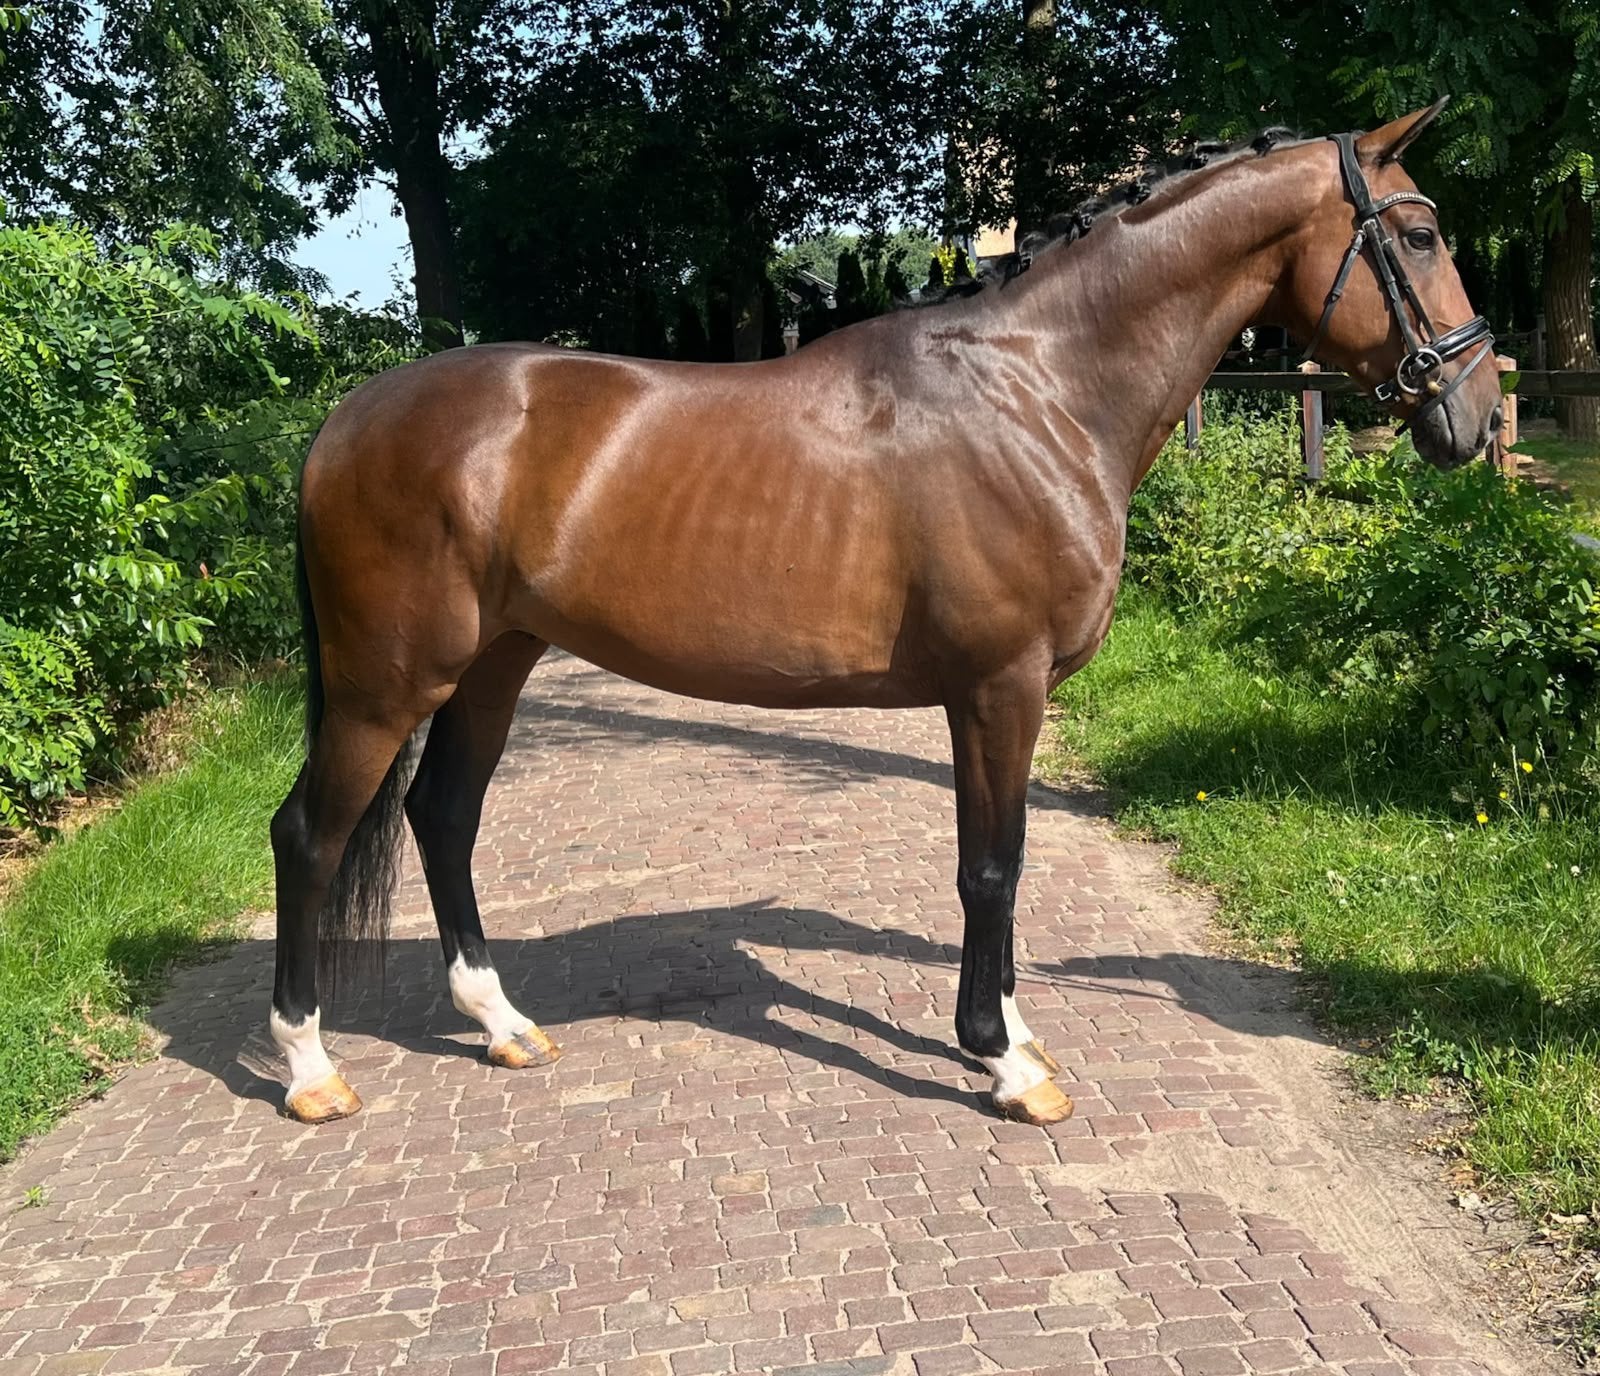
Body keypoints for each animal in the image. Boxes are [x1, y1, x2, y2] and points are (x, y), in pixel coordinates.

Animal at [269, 101, 1501, 1126]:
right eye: (1421, 237)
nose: (1478, 412)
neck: (1038, 390)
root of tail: (343, 422)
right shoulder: (999, 686)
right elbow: (991, 868)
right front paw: (1001, 1062)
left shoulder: (990, 696)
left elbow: (999, 857)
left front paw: (1014, 1035)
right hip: (389, 684)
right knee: (311, 835)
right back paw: (311, 1068)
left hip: (495, 664)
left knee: (443, 817)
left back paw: (503, 1024)